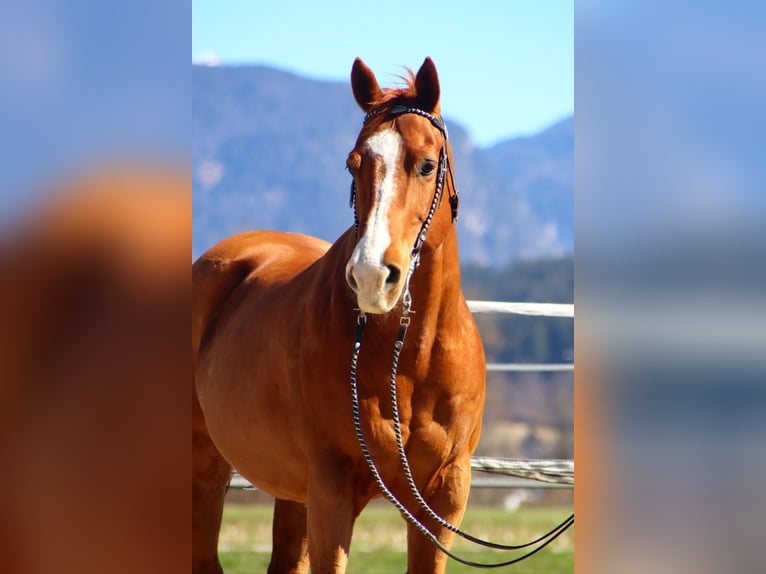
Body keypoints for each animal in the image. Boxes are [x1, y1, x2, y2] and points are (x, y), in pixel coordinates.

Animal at [192, 57, 487, 574]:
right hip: (205, 468)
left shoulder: (443, 498)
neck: (408, 359)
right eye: (355, 163)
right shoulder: (332, 491)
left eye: (427, 165)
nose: (372, 276)